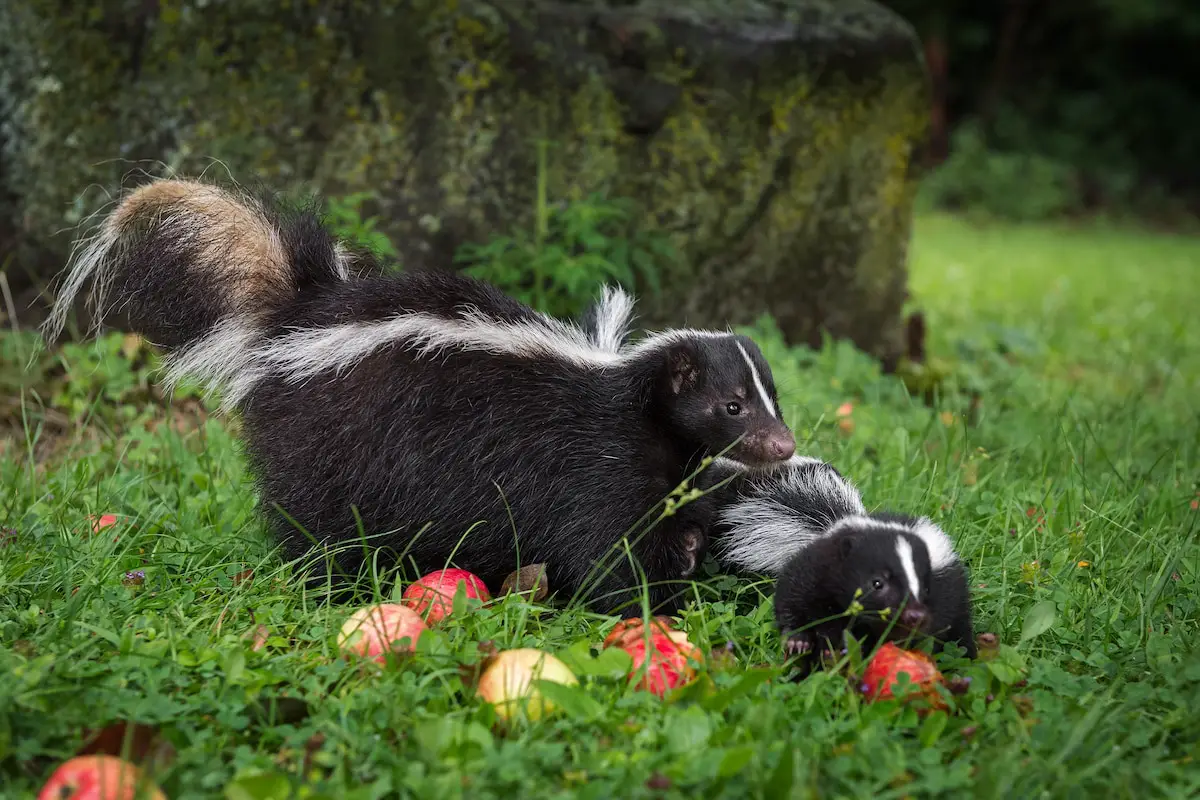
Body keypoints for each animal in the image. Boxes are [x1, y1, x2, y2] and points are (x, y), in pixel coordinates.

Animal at [44, 176, 796, 614]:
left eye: (772, 399)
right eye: (732, 406)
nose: (784, 445)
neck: (630, 399)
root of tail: (299, 318)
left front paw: (688, 562)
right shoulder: (592, 465)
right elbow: (606, 548)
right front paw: (651, 603)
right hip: (334, 447)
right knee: (318, 527)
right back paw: (331, 588)